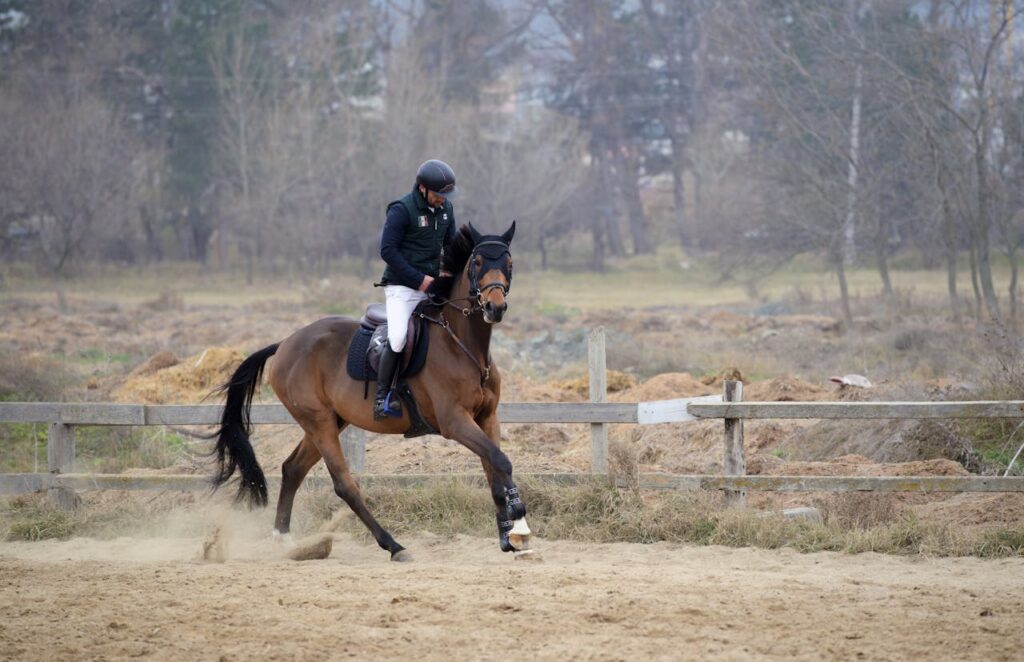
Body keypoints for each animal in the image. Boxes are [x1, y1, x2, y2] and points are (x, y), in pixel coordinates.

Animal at [209, 221, 531, 561]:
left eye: (509, 263)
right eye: (477, 262)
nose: (495, 307)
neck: (463, 346)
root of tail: (285, 343)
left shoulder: (486, 418)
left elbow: (494, 468)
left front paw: (508, 536)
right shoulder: (454, 422)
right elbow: (501, 461)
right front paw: (520, 522)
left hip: (330, 421)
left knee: (292, 469)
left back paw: (285, 541)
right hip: (319, 422)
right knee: (344, 485)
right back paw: (393, 545)